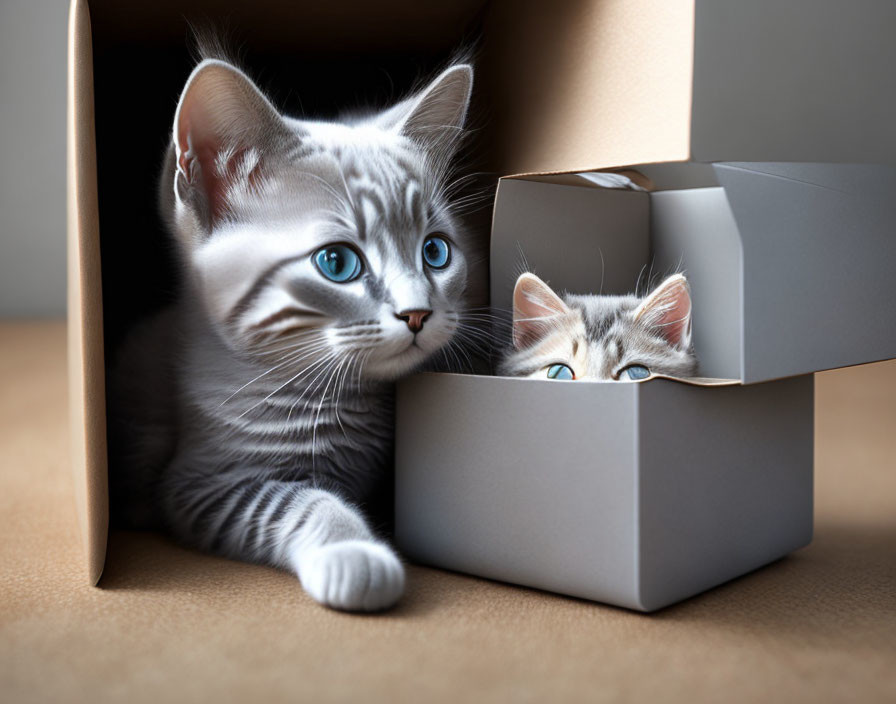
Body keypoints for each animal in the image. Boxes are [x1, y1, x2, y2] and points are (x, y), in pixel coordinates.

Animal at [107, 53, 476, 612]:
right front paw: (354, 553)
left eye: (435, 252)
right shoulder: (203, 483)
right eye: (337, 262)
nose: (417, 313)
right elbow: (304, 502)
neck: (337, 398)